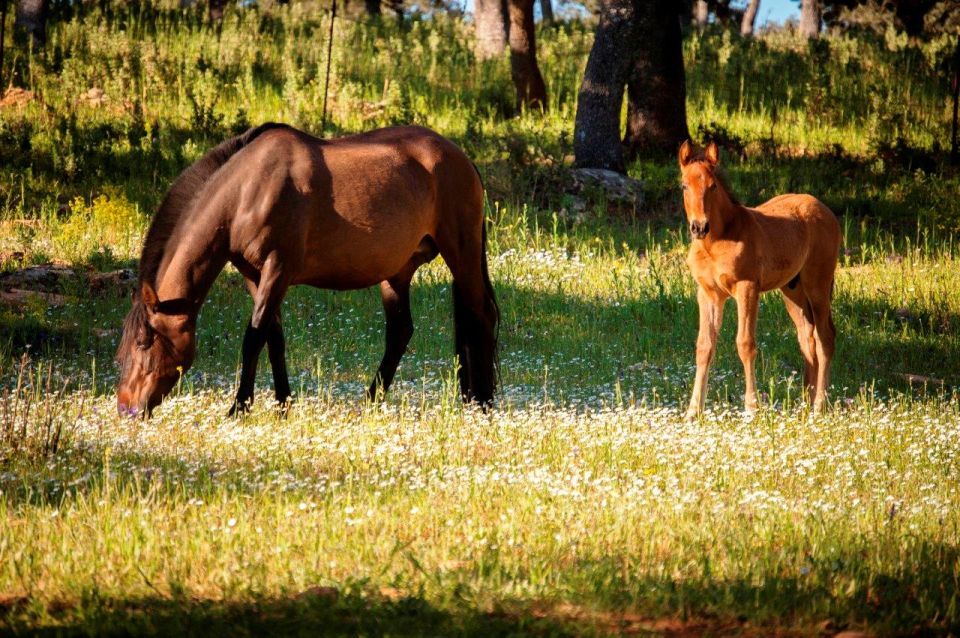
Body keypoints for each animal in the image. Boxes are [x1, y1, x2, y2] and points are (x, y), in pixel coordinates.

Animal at [116, 123, 498, 418]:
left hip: (460, 252)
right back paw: (371, 402)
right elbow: (273, 338)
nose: (126, 408)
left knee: (481, 315)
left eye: (145, 341)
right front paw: (283, 405)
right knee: (400, 332)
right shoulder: (254, 276)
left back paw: (483, 403)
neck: (247, 190)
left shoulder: (278, 270)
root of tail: (462, 158)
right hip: (397, 272)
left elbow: (253, 338)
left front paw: (238, 408)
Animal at [680, 141, 844, 420]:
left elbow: (745, 344)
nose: (699, 227)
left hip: (818, 284)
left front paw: (751, 407)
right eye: (684, 185)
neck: (717, 241)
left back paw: (819, 405)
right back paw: (805, 403)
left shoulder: (747, 288)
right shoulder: (708, 293)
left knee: (825, 337)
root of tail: (825, 209)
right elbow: (704, 346)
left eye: (713, 186)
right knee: (806, 338)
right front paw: (693, 411)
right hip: (792, 291)